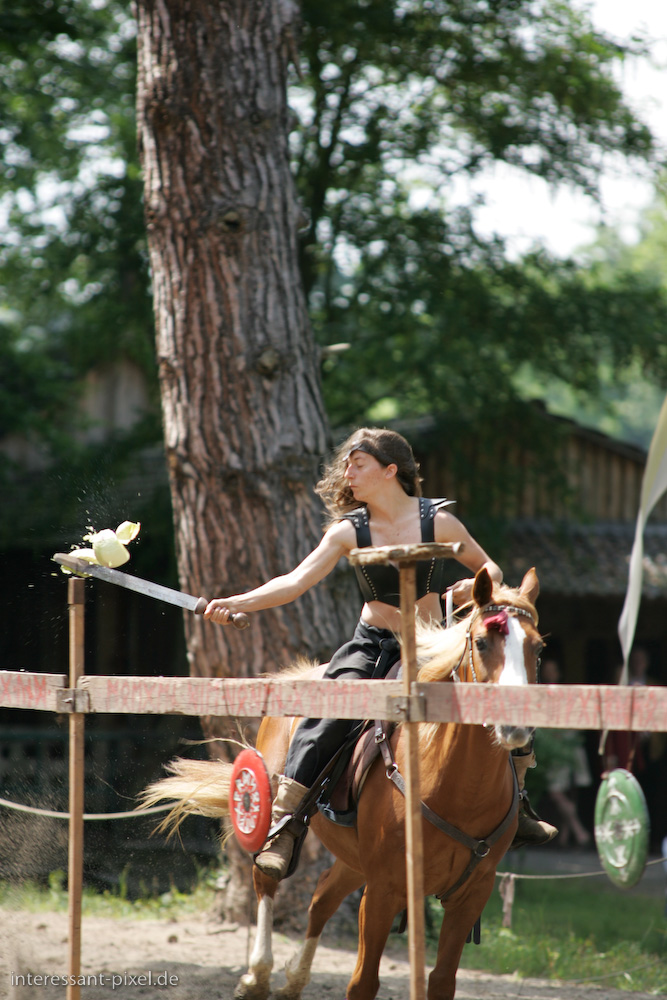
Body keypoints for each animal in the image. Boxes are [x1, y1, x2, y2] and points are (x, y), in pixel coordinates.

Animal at [144, 568, 544, 996]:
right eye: (482, 642)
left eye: (537, 648)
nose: (515, 724)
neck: (456, 785)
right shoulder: (385, 888)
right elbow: (363, 983)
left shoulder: (471, 894)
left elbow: (440, 983)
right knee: (266, 877)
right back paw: (257, 974)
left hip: (356, 858)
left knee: (322, 895)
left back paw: (294, 979)